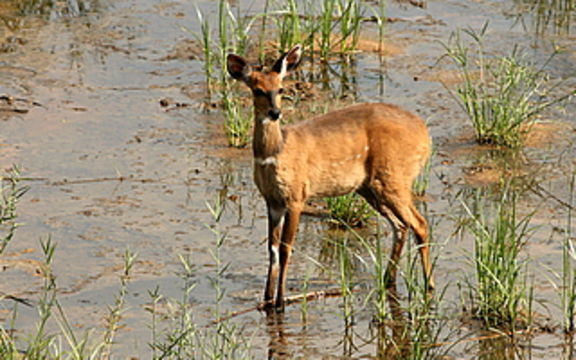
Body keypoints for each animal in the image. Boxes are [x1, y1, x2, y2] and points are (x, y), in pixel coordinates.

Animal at [225, 44, 432, 310]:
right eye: (258, 90)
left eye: (281, 88)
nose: (275, 112)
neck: (275, 154)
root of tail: (425, 135)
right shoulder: (272, 201)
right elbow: (272, 249)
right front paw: (267, 300)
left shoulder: (296, 197)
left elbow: (286, 249)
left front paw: (280, 301)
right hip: (370, 188)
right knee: (401, 226)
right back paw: (388, 280)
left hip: (393, 178)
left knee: (420, 223)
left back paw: (429, 286)